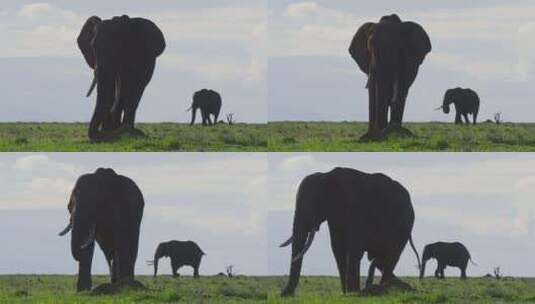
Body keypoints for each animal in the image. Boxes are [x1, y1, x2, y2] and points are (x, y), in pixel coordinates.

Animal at [77, 14, 165, 142]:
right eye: (93, 46)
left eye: (119, 47)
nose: (100, 136)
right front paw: (112, 132)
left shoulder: (139, 55)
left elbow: (134, 87)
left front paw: (126, 133)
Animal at [280, 167, 422, 296]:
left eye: (314, 204)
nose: (285, 294)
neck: (326, 176)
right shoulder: (335, 217)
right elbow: (338, 248)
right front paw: (346, 293)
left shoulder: (358, 209)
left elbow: (354, 249)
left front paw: (352, 293)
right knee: (381, 260)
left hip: (404, 225)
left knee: (391, 256)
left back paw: (385, 288)